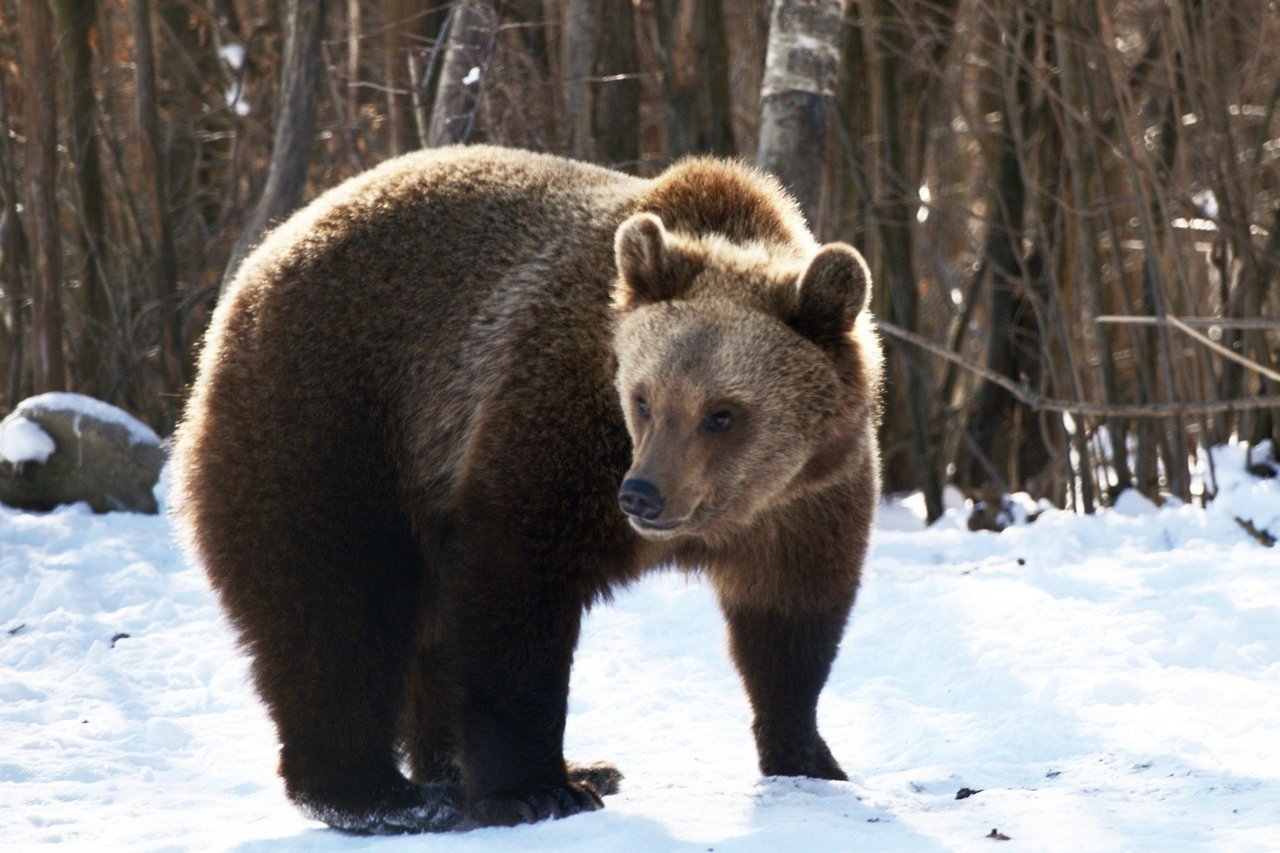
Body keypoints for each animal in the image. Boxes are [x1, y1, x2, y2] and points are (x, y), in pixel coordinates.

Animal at [172, 144, 880, 829]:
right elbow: (515, 595)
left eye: (722, 414)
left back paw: (492, 772)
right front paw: (537, 791)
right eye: (643, 398)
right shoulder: (553, 428)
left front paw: (810, 756)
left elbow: (792, 619)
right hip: (333, 419)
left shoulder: (807, 498)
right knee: (332, 602)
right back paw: (383, 796)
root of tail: (269, 248)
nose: (643, 495)